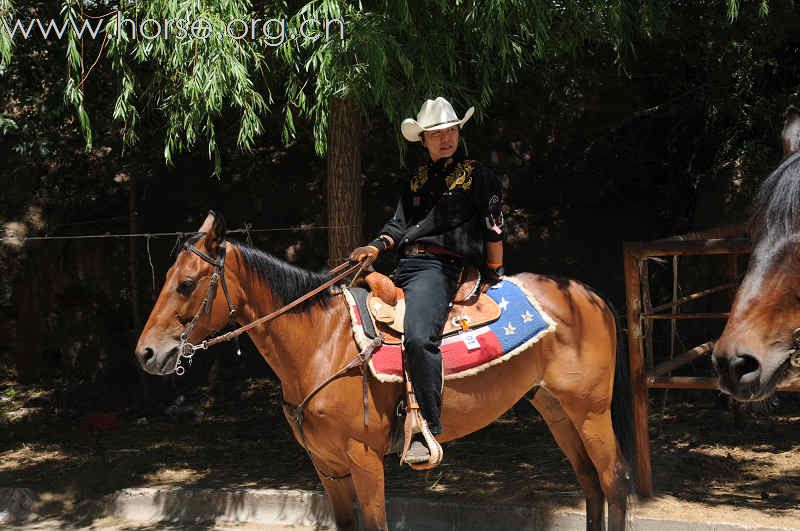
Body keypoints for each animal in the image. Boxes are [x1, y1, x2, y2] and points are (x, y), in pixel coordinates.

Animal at [134, 212, 636, 531]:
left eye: (186, 283)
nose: (146, 354)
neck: (321, 341)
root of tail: (589, 295)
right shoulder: (327, 467)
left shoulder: (364, 459)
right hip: (555, 410)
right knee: (590, 483)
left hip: (591, 411)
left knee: (613, 481)